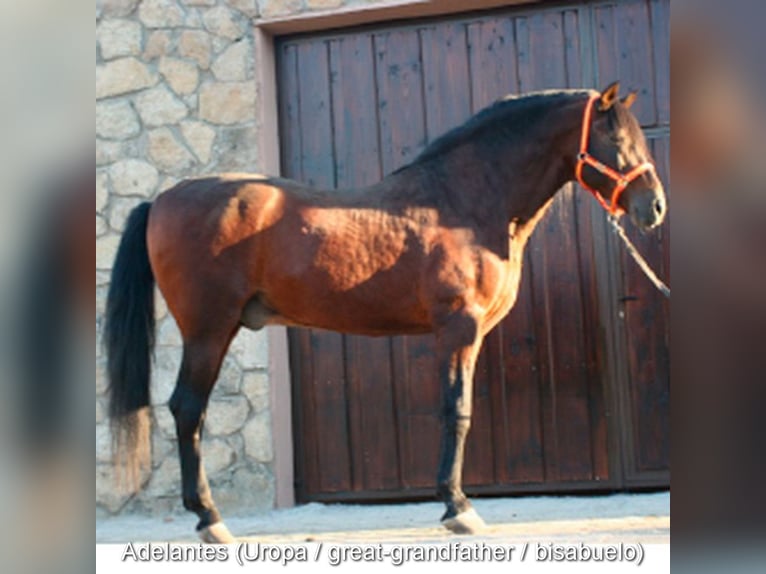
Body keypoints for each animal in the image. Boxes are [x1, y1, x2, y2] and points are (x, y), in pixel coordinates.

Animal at [105, 83, 668, 544]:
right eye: (616, 138)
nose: (655, 208)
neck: (463, 202)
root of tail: (160, 201)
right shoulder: (458, 328)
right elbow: (457, 410)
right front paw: (458, 508)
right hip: (208, 331)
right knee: (187, 409)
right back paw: (210, 519)